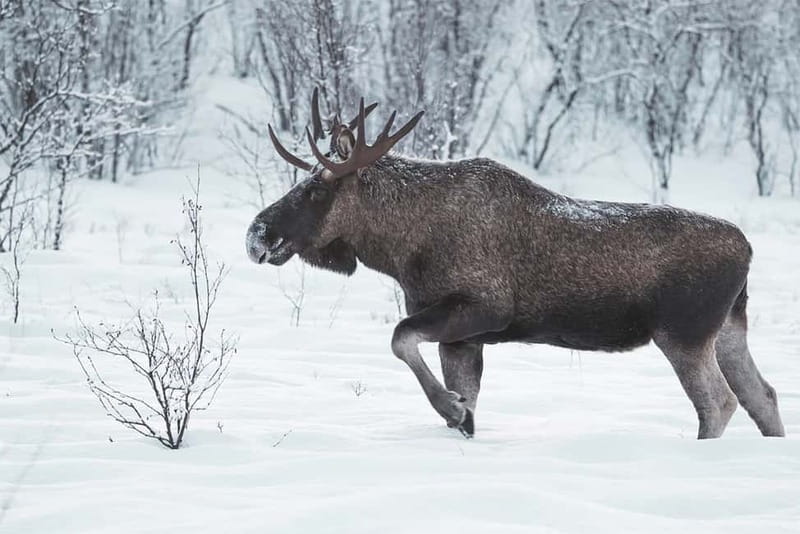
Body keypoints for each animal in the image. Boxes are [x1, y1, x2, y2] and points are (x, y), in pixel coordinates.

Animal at [246, 89, 785, 440]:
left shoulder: (484, 308)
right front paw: (458, 414)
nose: (257, 235)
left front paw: (450, 407)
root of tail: (748, 250)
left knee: (719, 403)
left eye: (315, 191)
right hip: (728, 328)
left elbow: (400, 338)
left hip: (683, 333)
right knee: (764, 396)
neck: (401, 250)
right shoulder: (463, 337)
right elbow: (462, 400)